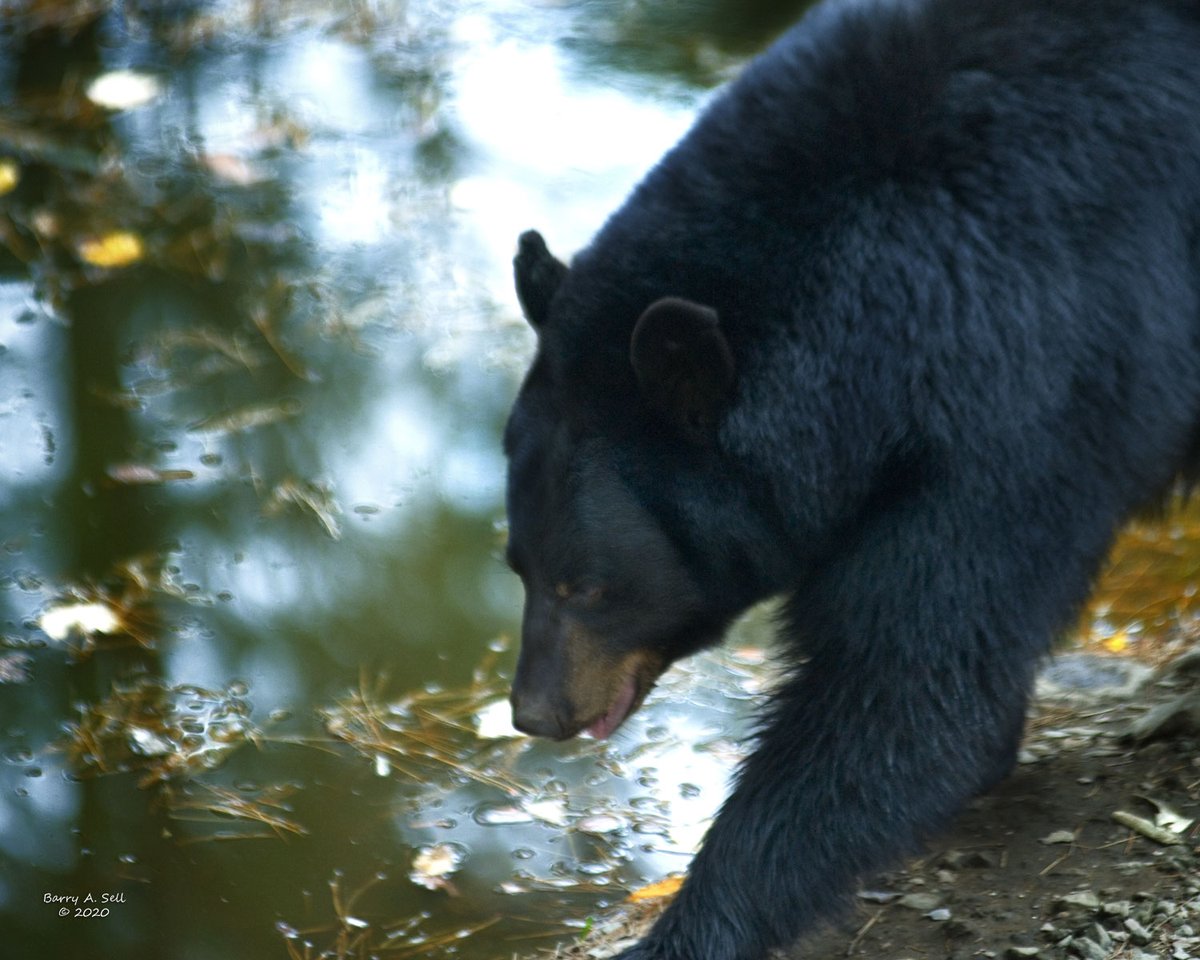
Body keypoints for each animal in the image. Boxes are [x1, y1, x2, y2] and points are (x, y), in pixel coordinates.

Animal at [501, 0, 1200, 957]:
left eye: (592, 586)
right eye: (518, 566)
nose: (533, 713)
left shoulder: (1017, 402)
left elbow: (911, 689)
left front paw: (686, 927)